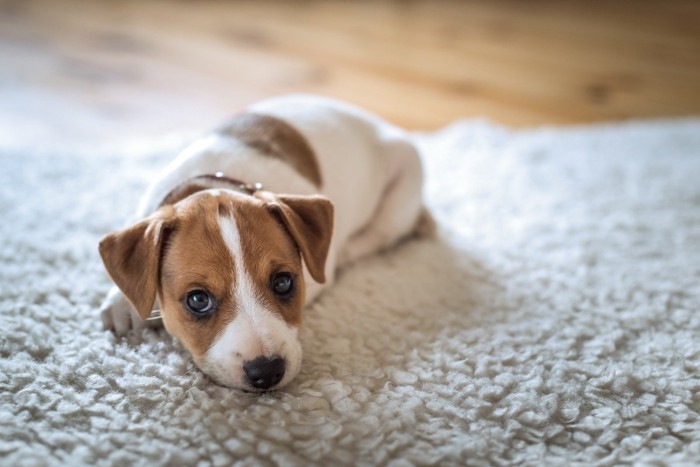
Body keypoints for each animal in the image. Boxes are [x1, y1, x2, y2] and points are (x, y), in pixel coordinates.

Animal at [98, 94, 432, 392]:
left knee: (379, 234)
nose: (267, 371)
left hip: (402, 187)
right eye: (198, 300)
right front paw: (123, 303)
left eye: (283, 283)